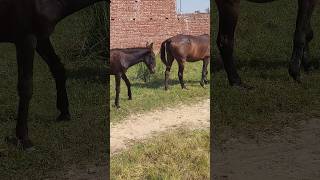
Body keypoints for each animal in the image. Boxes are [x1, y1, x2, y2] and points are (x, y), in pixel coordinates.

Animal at [0, 0, 107, 150]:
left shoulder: (41, 38)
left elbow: (58, 69)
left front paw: (64, 112)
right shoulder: (26, 38)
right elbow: (26, 87)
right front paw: (24, 138)